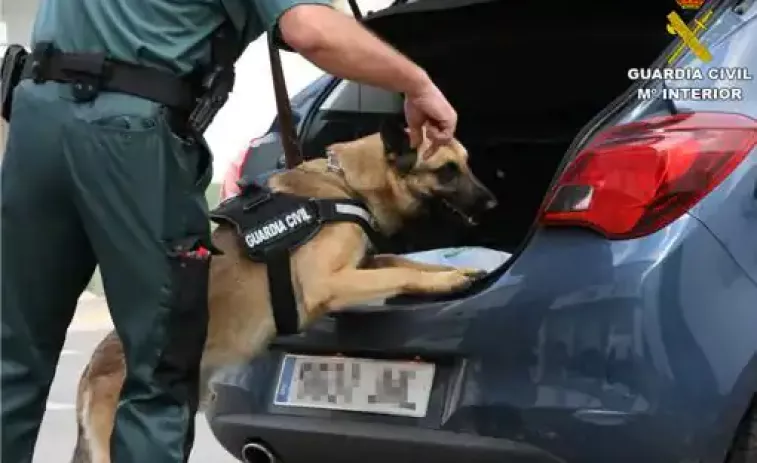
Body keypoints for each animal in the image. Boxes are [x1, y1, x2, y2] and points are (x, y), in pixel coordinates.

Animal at [69, 124, 496, 463]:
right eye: (446, 170)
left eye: (467, 163)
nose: (493, 202)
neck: (346, 181)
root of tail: (90, 370)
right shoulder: (329, 283)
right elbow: (403, 272)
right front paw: (448, 281)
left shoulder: (365, 264)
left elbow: (407, 263)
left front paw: (460, 271)